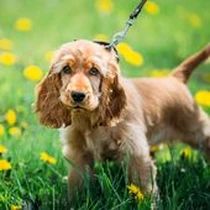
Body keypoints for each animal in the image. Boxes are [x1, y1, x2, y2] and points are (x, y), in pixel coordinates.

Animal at [35, 39, 210, 199]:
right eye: (66, 69)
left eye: (94, 71)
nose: (78, 95)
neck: (89, 118)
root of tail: (175, 78)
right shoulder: (77, 153)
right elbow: (77, 183)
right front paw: (74, 202)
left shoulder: (134, 152)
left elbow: (143, 186)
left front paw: (146, 204)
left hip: (197, 129)